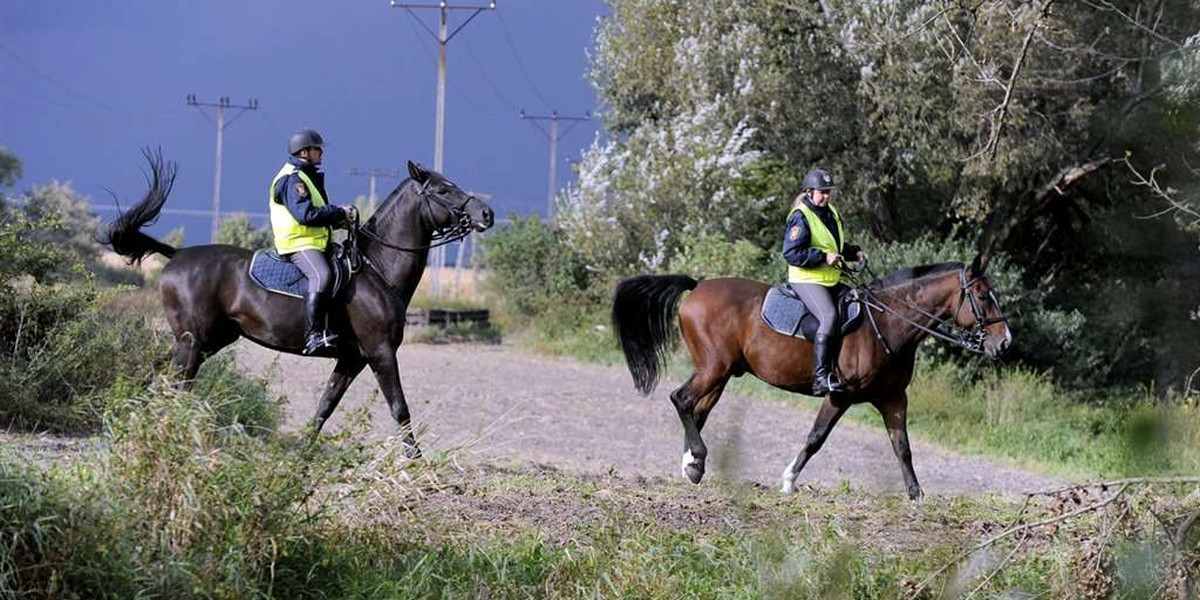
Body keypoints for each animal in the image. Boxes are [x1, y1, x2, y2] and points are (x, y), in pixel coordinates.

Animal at [102, 151, 492, 453]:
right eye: (443, 190)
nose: (486, 213)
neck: (378, 269)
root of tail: (177, 254)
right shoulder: (380, 352)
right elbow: (400, 408)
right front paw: (416, 462)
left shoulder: (352, 359)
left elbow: (324, 407)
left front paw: (300, 455)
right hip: (193, 342)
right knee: (177, 385)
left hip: (208, 341)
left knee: (159, 374)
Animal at [609, 255, 1012, 499]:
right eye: (981, 295)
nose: (1005, 342)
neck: (886, 322)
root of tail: (697, 287)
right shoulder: (839, 395)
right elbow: (816, 438)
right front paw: (788, 480)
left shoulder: (893, 397)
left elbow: (902, 446)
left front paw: (916, 495)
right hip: (714, 368)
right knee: (682, 400)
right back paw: (696, 460)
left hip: (720, 374)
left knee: (697, 409)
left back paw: (692, 466)